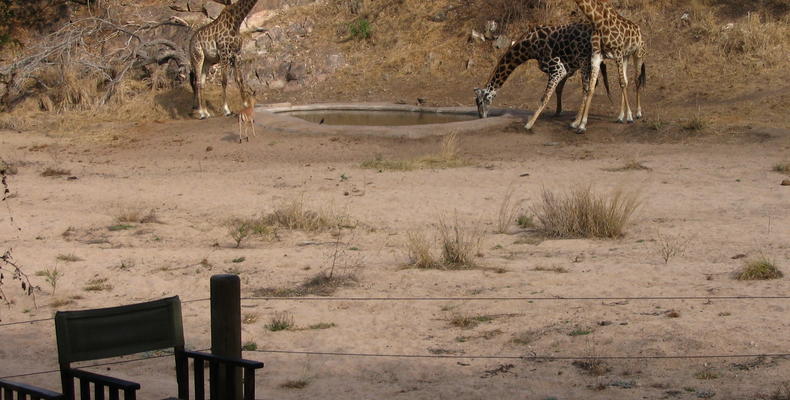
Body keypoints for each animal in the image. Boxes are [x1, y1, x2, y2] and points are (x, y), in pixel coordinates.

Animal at [476, 22, 612, 130]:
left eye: (481, 101)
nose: (481, 117)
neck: (529, 47)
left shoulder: (557, 69)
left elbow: (544, 97)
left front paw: (529, 124)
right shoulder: (567, 69)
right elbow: (558, 90)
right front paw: (558, 112)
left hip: (584, 61)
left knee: (587, 88)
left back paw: (578, 122)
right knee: (594, 85)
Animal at [572, 0, 648, 134]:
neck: (597, 21)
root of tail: (639, 31)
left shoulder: (617, 53)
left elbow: (621, 83)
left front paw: (630, 116)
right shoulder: (596, 56)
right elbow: (591, 87)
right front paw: (581, 125)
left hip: (637, 54)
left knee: (636, 79)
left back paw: (638, 113)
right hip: (625, 56)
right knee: (627, 81)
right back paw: (620, 116)